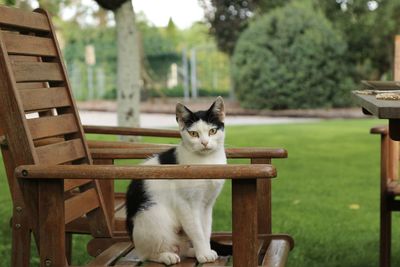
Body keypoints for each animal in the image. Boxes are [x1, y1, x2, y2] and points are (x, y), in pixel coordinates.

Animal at [126, 96, 228, 266]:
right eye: (193, 133)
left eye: (212, 131)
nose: (205, 143)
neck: (206, 161)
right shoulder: (186, 204)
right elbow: (197, 231)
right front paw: (204, 254)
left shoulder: (207, 204)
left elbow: (205, 230)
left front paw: (205, 251)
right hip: (155, 216)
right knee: (146, 254)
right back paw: (166, 256)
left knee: (182, 248)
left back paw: (190, 252)